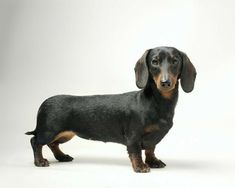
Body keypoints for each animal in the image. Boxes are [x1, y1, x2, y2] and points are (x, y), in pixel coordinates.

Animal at [25, 46, 196, 172]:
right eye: (154, 61)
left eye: (175, 61)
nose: (165, 82)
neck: (157, 102)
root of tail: (43, 104)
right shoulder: (133, 135)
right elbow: (136, 152)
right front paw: (140, 166)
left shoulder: (152, 139)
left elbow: (150, 149)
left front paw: (153, 161)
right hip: (49, 131)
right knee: (36, 141)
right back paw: (40, 161)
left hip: (65, 134)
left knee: (53, 144)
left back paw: (62, 157)